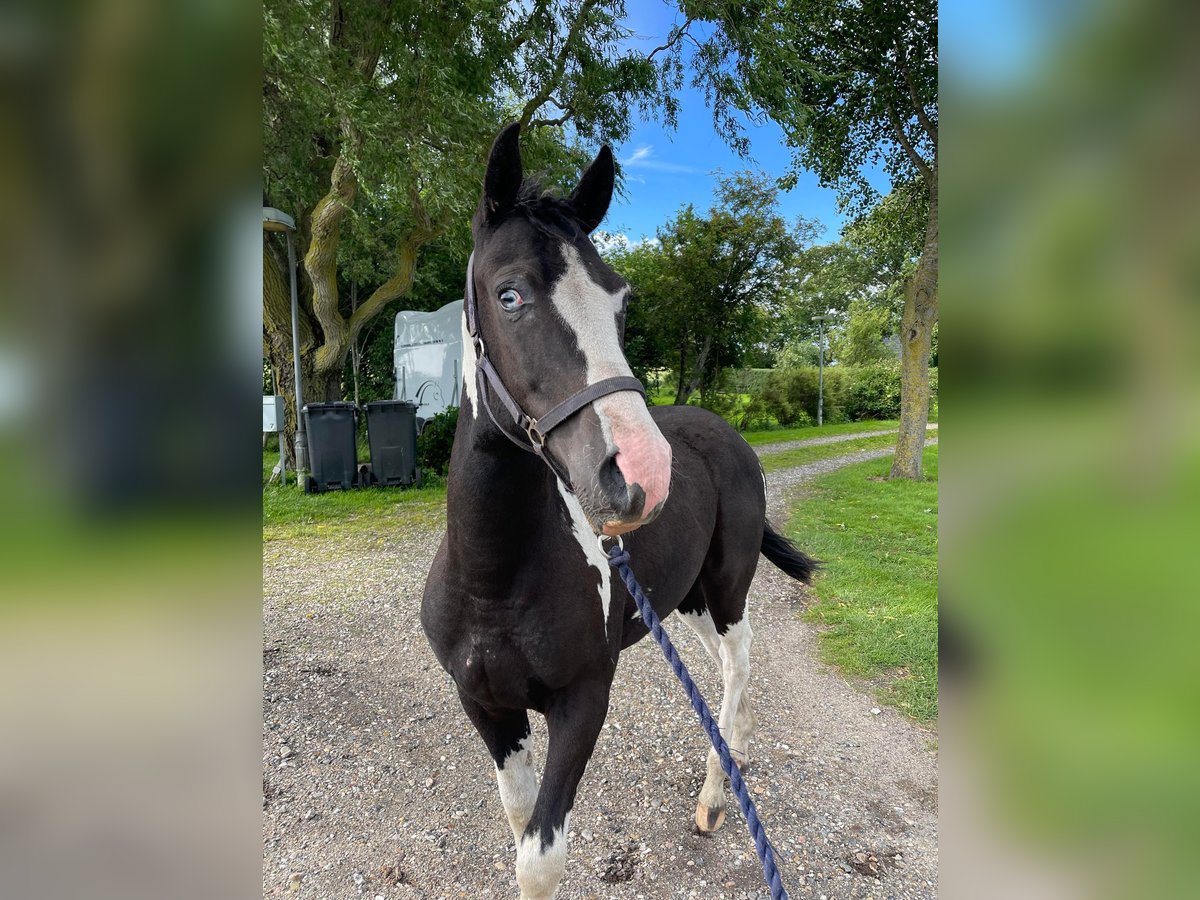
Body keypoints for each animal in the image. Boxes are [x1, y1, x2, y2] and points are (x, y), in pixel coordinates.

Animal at [422, 125, 816, 900]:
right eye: (510, 295)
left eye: (621, 302)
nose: (642, 476)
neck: (493, 580)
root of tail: (729, 434)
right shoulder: (484, 704)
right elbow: (519, 819)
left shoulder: (584, 702)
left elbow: (540, 859)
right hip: (681, 600)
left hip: (726, 586)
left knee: (737, 665)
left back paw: (716, 796)